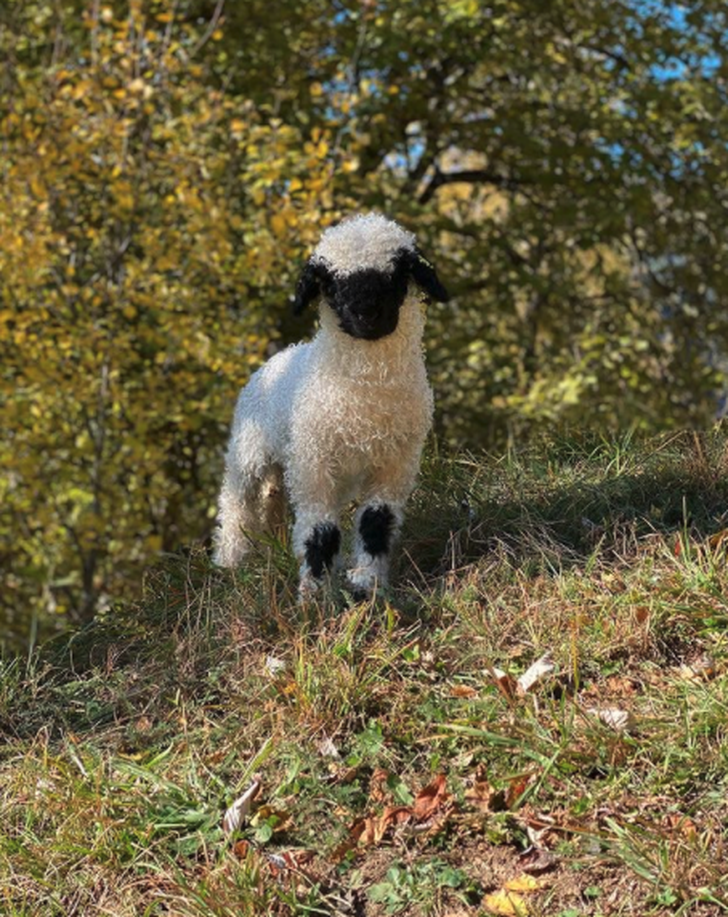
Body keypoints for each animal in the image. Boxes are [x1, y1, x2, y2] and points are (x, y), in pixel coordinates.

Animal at [213, 212, 448, 598]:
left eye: (396, 275)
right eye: (332, 283)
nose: (366, 313)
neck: (364, 395)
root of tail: (277, 358)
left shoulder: (396, 462)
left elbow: (376, 523)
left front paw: (368, 584)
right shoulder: (314, 463)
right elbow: (319, 531)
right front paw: (313, 597)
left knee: (271, 501)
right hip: (248, 455)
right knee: (236, 505)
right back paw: (229, 563)